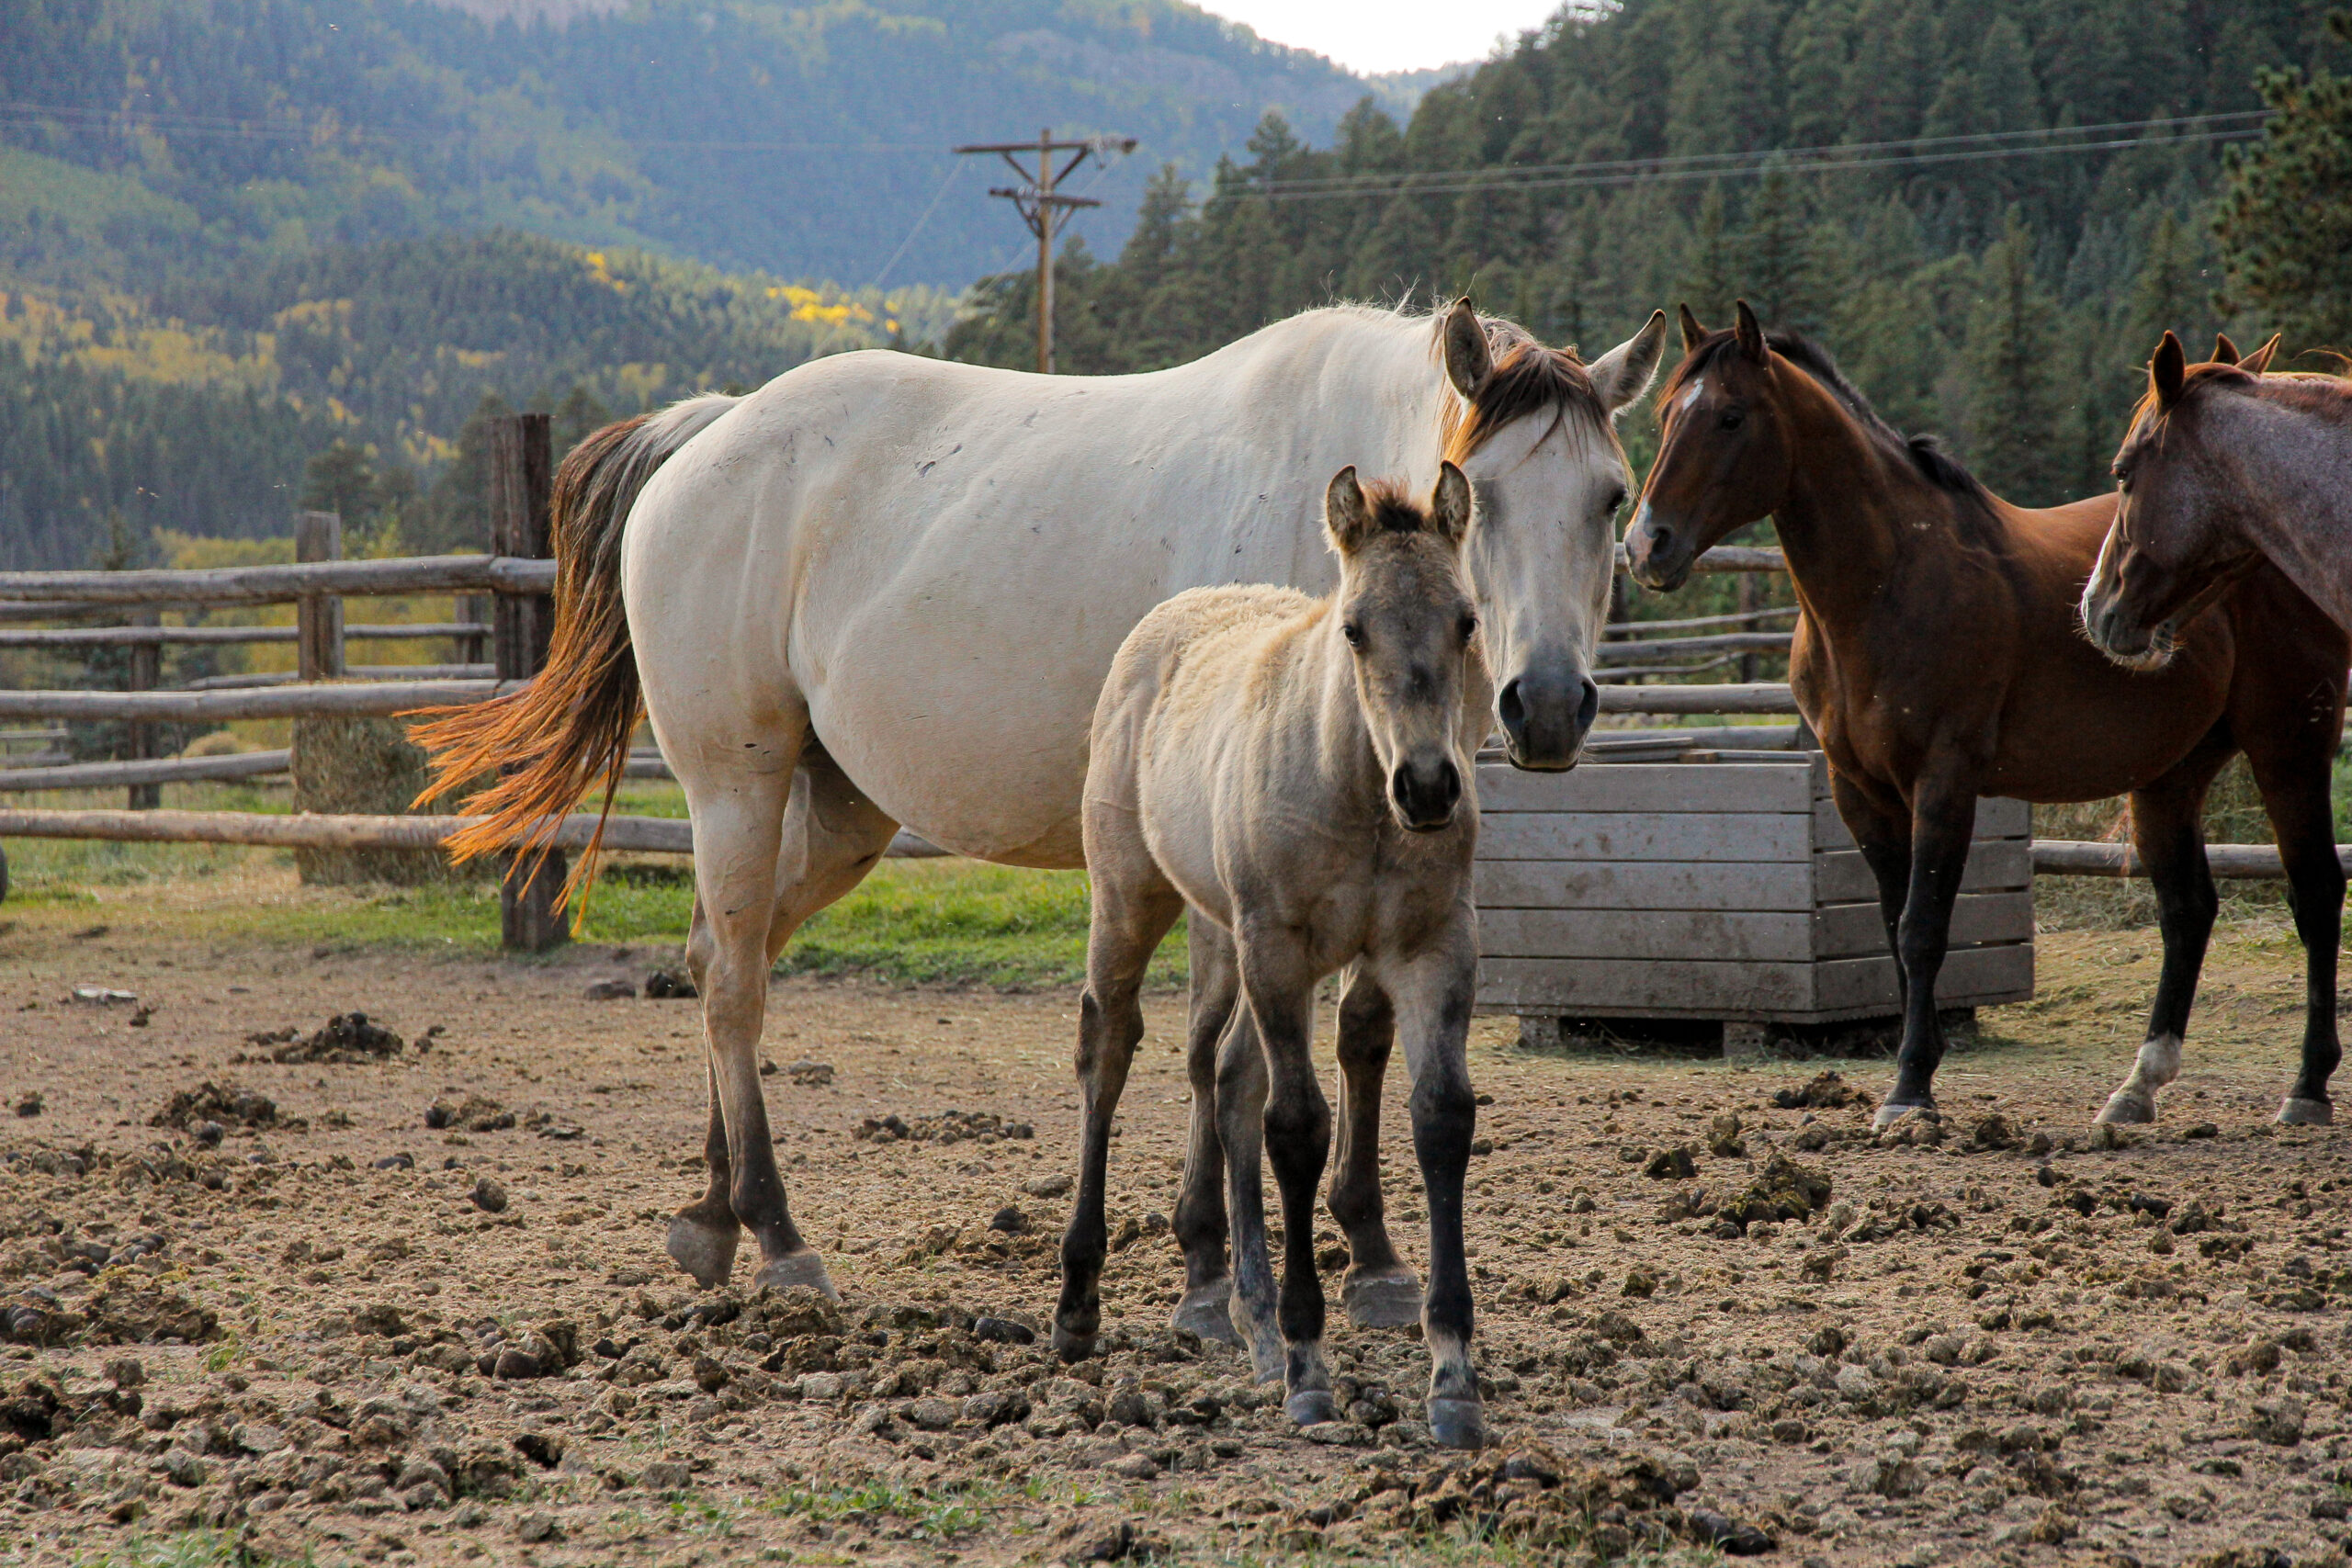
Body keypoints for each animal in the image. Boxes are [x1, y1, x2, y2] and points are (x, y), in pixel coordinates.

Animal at [423, 300, 1674, 1306]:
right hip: (737, 786)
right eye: (1489, 498)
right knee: (733, 989)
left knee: (719, 958)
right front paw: (1213, 1258)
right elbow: (1228, 1054)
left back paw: (714, 1216)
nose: (1546, 704)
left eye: (1611, 496)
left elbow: (1357, 1034)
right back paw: (778, 1237)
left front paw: (1367, 1253)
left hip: (838, 816)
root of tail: (707, 438)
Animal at [1063, 463, 1486, 1448]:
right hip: (1137, 903)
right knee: (1109, 1048)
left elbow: (1441, 1117)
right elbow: (1295, 1127)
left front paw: (1452, 1375)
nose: (1429, 786)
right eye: (1355, 627)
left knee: (1224, 1072)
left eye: (1466, 619)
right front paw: (1308, 1365)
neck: (1359, 792)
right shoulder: (1283, 950)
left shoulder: (1432, 947)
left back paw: (1245, 1317)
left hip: (1226, 934)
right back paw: (1080, 1302)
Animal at [1627, 303, 2342, 1128]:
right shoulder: (1858, 791)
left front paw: (1909, 1089)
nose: (1646, 545)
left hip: (2289, 744)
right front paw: (1917, 1066)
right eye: (1665, 413)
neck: (1889, 582)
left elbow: (1923, 928)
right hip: (2171, 775)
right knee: (2188, 910)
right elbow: (1892, 924)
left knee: (2317, 894)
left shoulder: (1944, 779)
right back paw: (2137, 1087)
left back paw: (2307, 1087)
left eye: (1730, 416)